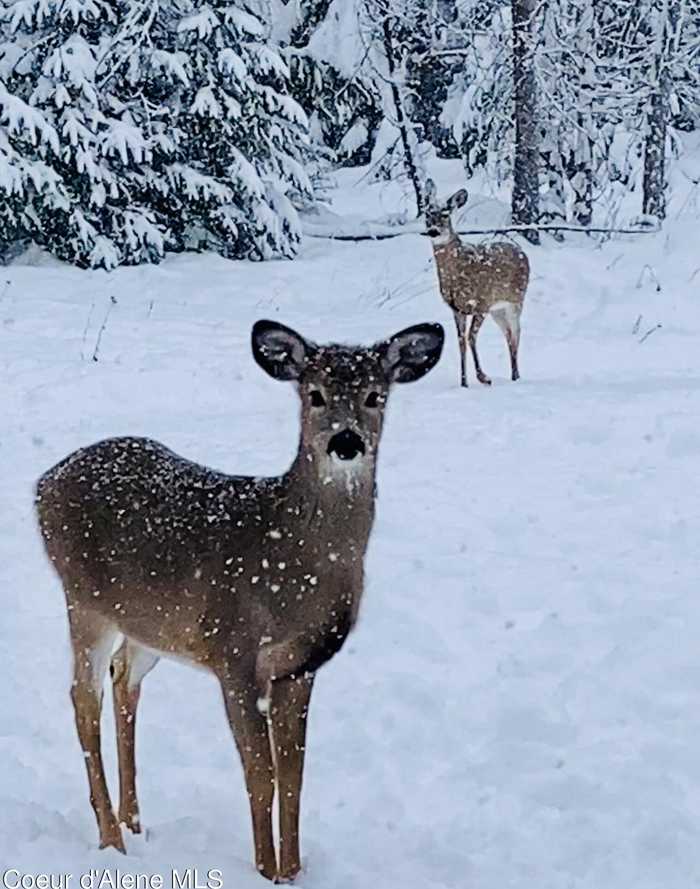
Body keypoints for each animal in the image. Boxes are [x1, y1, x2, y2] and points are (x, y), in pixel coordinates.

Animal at [34, 318, 442, 880]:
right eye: (314, 394)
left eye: (375, 395)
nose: (346, 442)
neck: (293, 574)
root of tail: (43, 483)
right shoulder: (233, 651)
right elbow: (260, 774)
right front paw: (265, 871)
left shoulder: (299, 666)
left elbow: (293, 776)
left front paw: (293, 871)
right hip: (84, 599)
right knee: (82, 698)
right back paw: (111, 838)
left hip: (151, 625)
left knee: (123, 679)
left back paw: (135, 822)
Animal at [422, 179, 532, 386]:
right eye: (427, 214)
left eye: (445, 214)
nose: (433, 231)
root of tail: (522, 253)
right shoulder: (456, 309)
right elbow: (461, 341)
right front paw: (464, 382)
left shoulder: (482, 303)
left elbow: (471, 338)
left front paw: (483, 377)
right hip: (498, 310)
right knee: (508, 334)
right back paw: (514, 375)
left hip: (515, 302)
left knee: (516, 334)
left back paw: (516, 376)